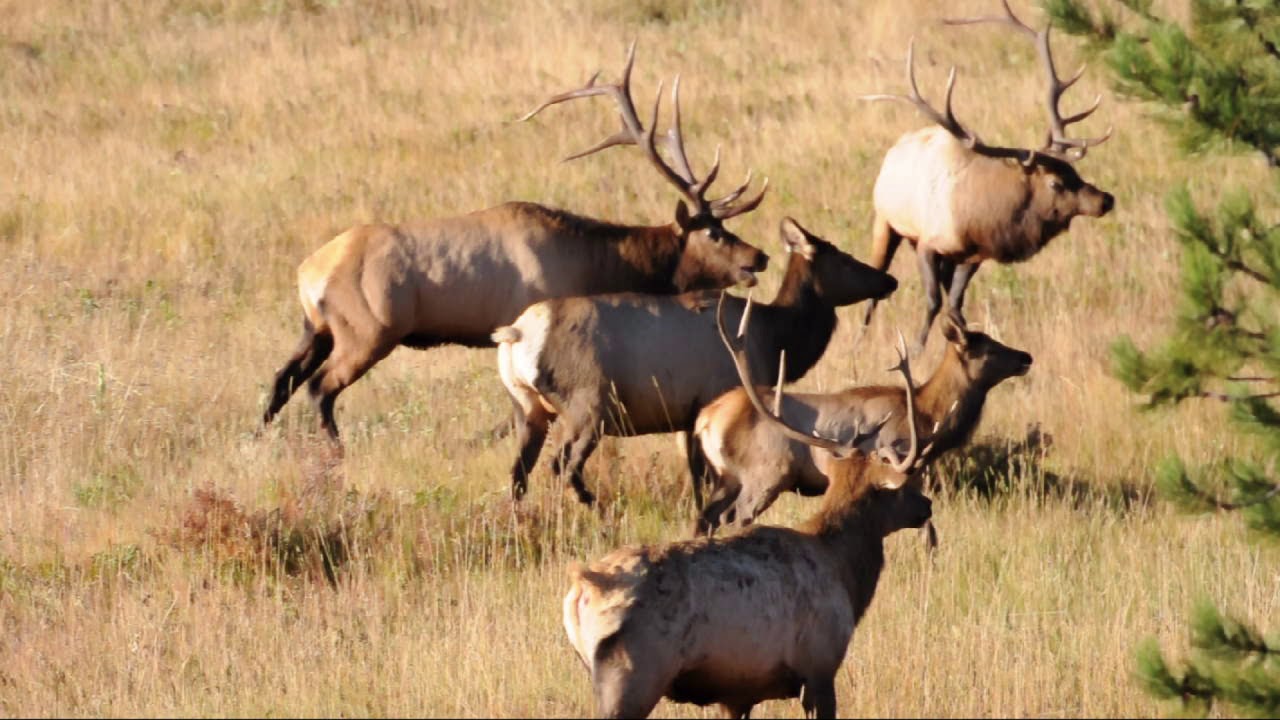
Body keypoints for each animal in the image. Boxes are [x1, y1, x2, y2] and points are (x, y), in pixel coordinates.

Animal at [260, 42, 769, 443]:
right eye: (714, 232)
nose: (759, 257)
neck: (594, 262)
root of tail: (308, 272)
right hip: (367, 331)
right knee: (319, 388)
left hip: (316, 328)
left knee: (280, 381)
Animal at [493, 216, 897, 506]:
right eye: (843, 257)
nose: (889, 280)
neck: (776, 337)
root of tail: (516, 334)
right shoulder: (715, 396)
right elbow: (707, 478)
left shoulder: (688, 415)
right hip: (588, 406)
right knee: (563, 466)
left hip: (527, 407)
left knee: (518, 474)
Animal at [562, 304, 932, 719]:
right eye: (905, 483)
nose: (927, 506)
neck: (846, 574)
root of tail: (584, 586)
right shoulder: (819, 666)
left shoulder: (738, 691)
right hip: (633, 677)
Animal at [694, 299, 1031, 538]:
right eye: (988, 349)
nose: (1026, 357)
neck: (926, 415)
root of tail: (706, 420)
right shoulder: (903, 461)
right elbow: (928, 531)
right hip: (765, 474)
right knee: (736, 516)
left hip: (726, 477)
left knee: (707, 517)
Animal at [860, 0, 1115, 351]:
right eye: (1056, 182)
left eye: (1076, 171)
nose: (1105, 199)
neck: (977, 217)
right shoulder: (927, 242)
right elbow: (933, 302)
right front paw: (915, 350)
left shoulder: (973, 256)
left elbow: (955, 306)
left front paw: (963, 342)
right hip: (886, 221)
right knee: (876, 279)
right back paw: (860, 338)